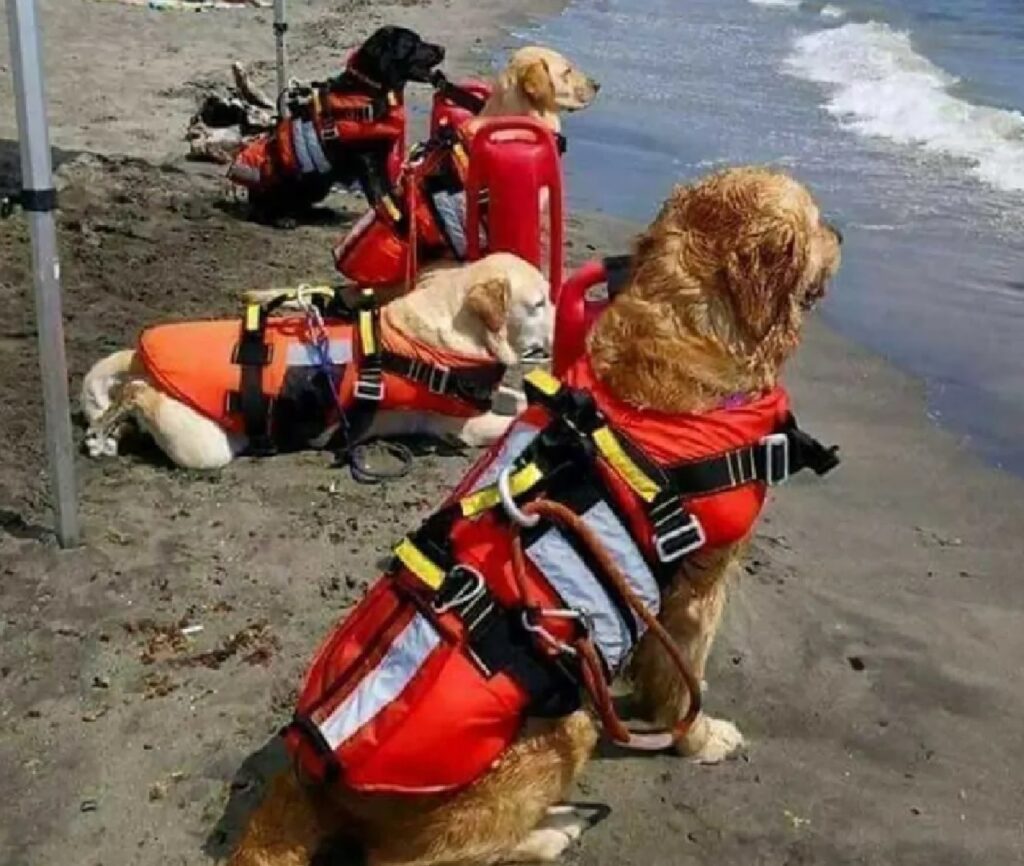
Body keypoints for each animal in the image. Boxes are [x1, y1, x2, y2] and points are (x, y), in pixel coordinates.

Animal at [79, 253, 552, 470]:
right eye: (539, 303)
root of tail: (138, 357)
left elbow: (515, 397)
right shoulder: (465, 426)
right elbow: (515, 417)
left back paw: (109, 433)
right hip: (205, 445)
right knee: (136, 394)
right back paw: (109, 422)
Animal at [224, 165, 839, 863]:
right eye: (818, 221)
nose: (843, 234)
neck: (681, 335)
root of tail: (307, 772)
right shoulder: (702, 586)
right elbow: (687, 683)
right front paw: (700, 739)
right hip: (562, 728)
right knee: (421, 858)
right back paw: (552, 830)